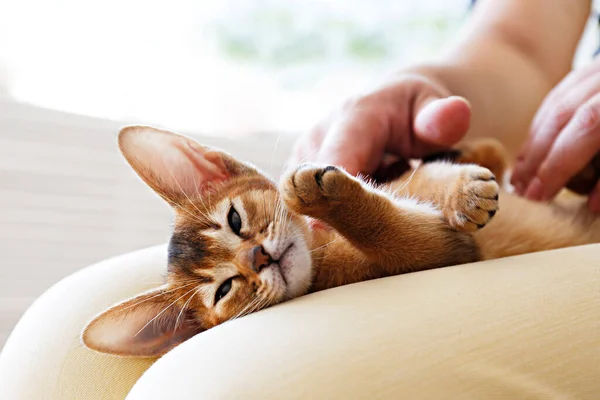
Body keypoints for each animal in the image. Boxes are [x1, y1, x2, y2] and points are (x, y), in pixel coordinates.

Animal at [81, 126, 600, 356]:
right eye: (225, 290)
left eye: (234, 219)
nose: (258, 256)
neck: (322, 246)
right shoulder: (442, 249)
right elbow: (392, 228)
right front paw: (324, 194)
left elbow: (468, 157)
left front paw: (467, 185)